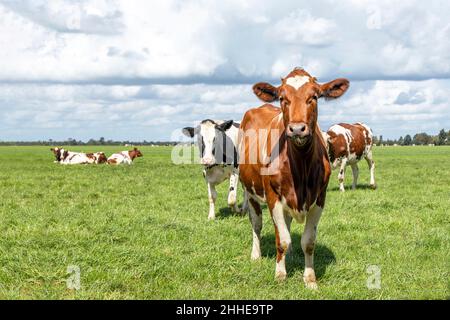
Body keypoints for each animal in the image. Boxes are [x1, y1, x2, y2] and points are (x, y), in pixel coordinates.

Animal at [237, 67, 350, 290]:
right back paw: (256, 254)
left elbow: (308, 241)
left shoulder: (320, 198)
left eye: (314, 97)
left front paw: (310, 278)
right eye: (282, 98)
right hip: (250, 191)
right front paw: (280, 275)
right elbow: (281, 239)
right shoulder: (273, 197)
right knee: (257, 224)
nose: (297, 128)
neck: (301, 165)